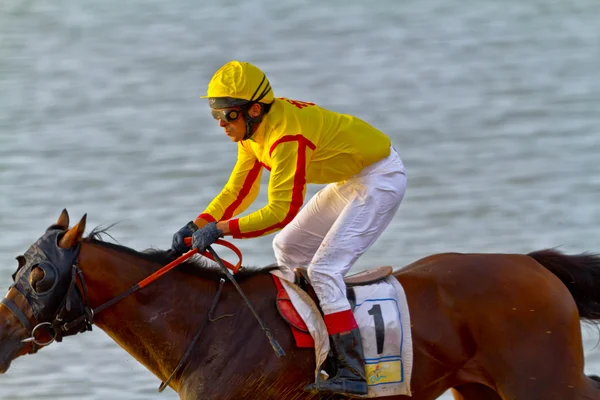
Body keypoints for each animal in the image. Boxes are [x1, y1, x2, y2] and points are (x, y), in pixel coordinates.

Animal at [1, 208, 600, 398]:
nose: (2, 335)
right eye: (18, 264)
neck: (207, 328)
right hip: (481, 388)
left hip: (543, 382)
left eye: (39, 276)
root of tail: (535, 264)